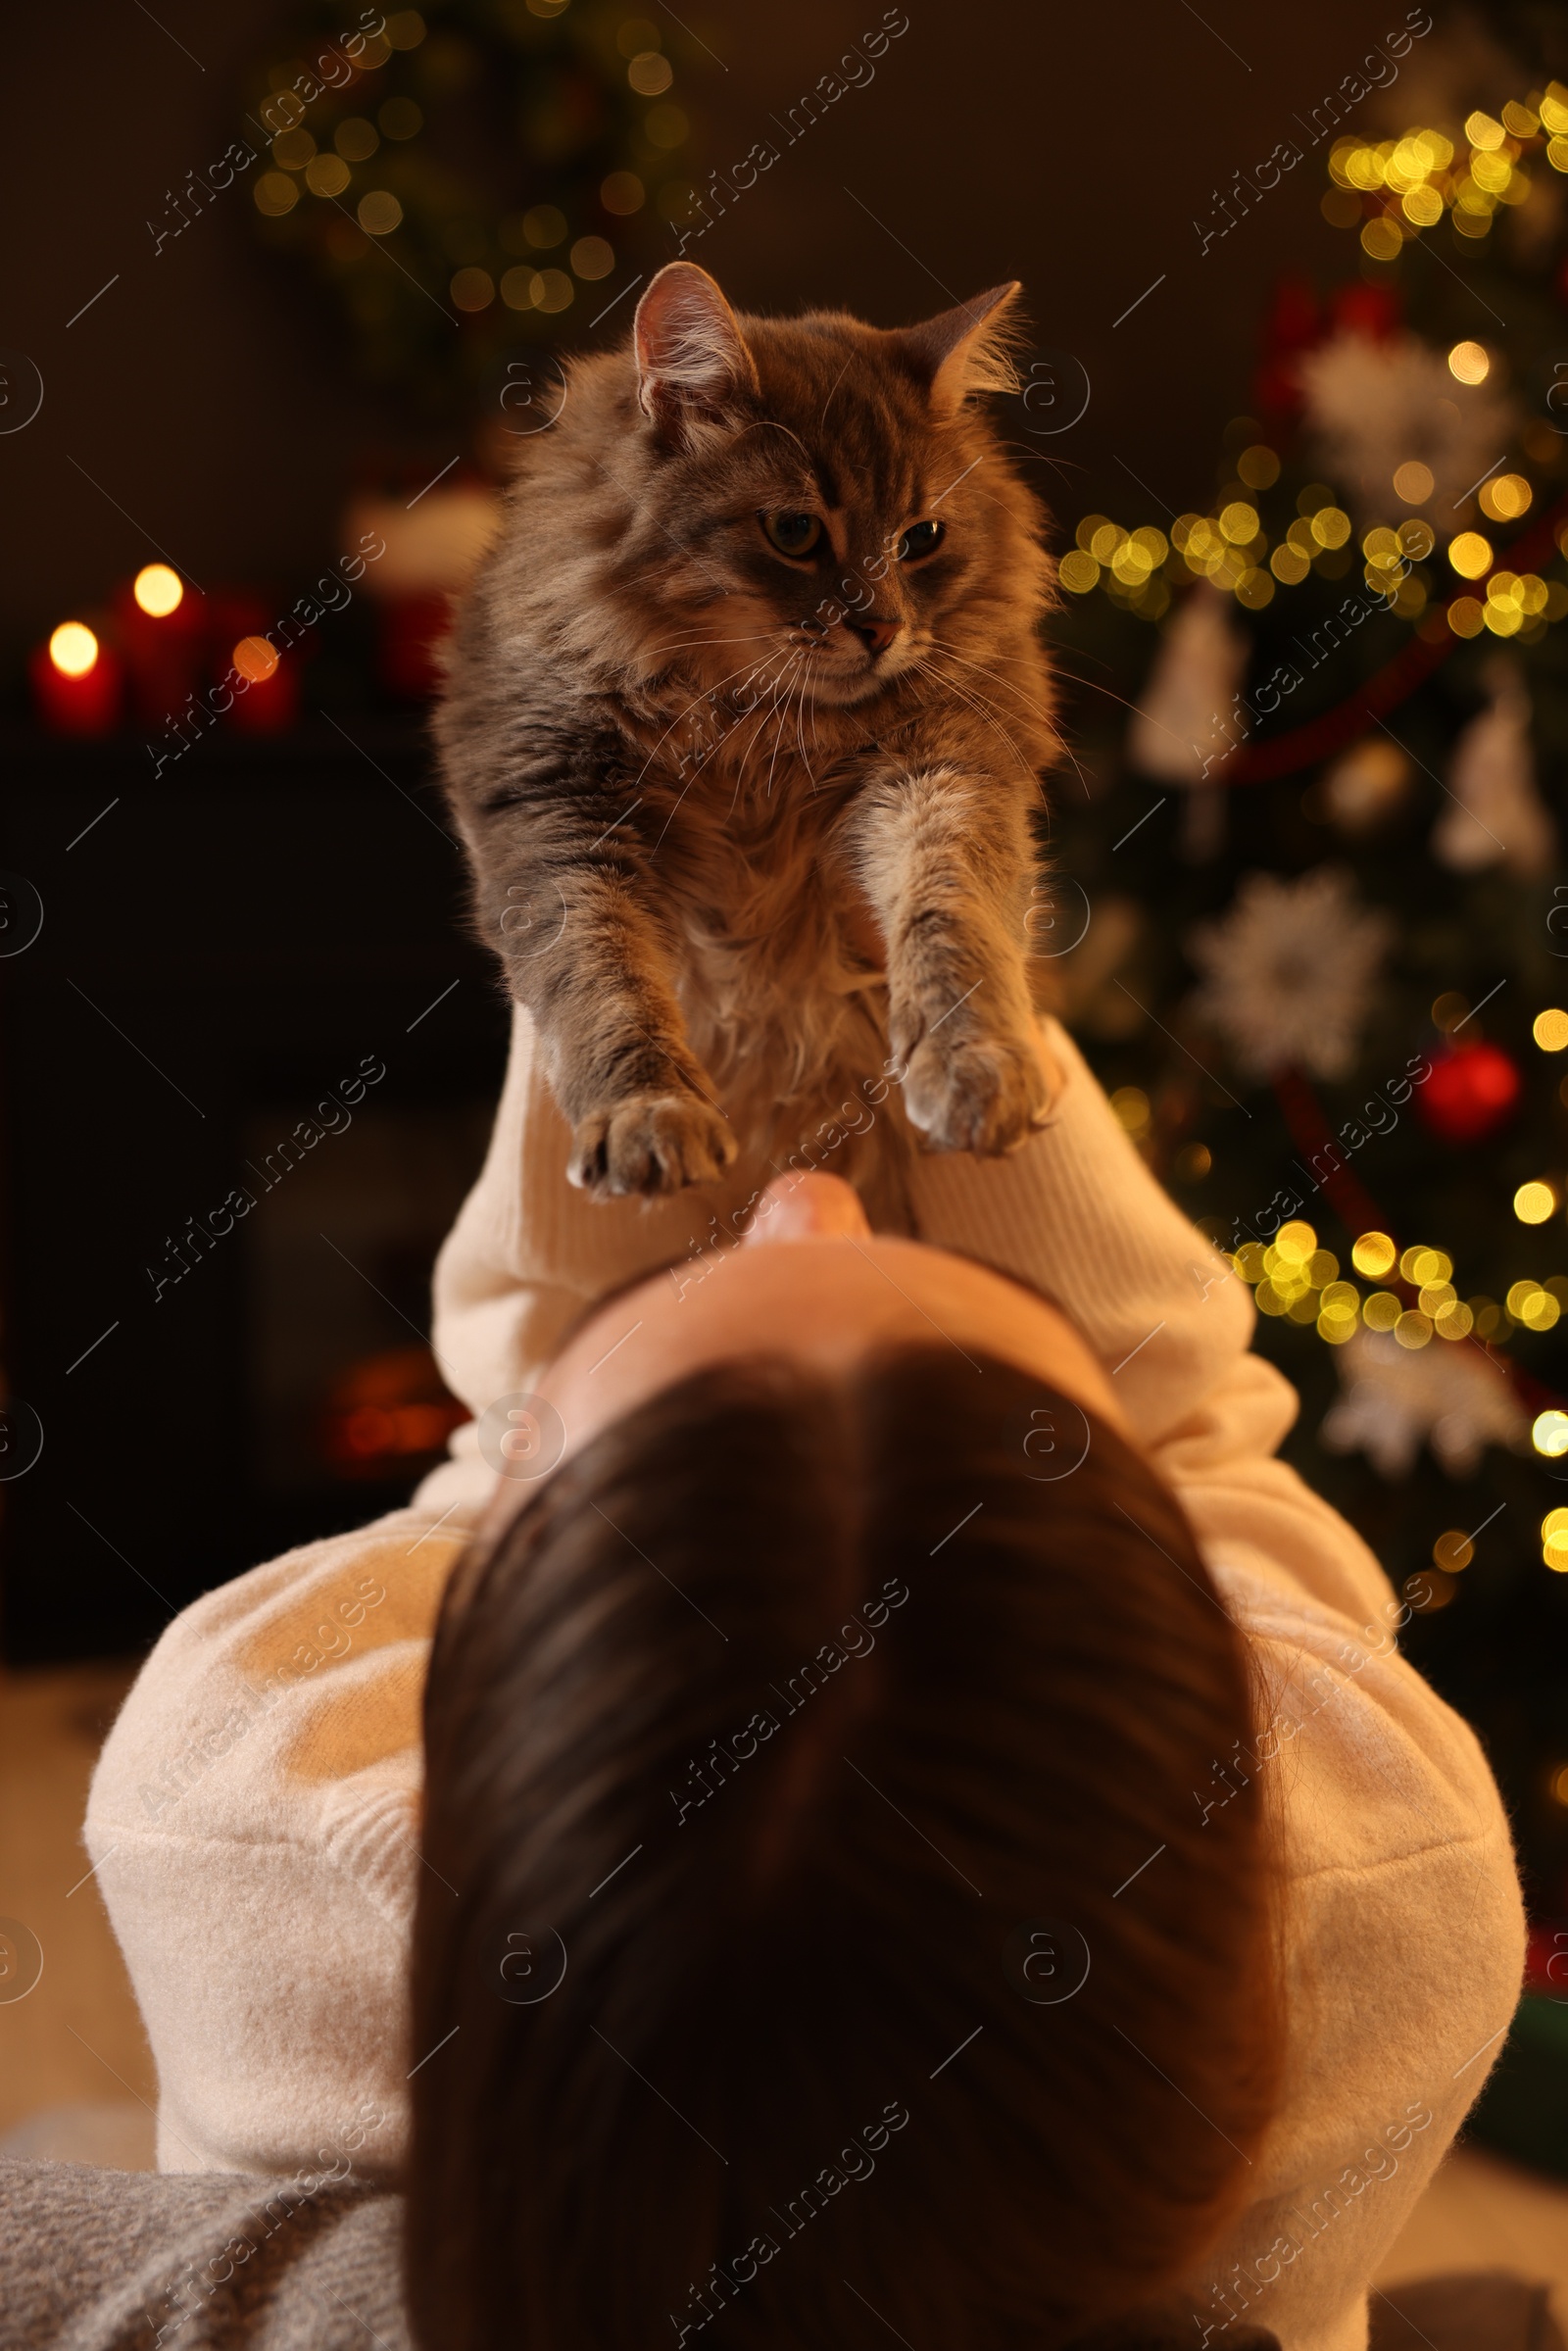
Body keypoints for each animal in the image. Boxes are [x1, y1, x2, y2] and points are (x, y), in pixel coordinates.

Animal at [434, 260, 1062, 1212]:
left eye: (921, 539)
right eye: (795, 531)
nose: (881, 628)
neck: (751, 723)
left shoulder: (944, 769)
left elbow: (953, 920)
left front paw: (976, 1066)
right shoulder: (559, 817)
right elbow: (606, 983)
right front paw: (648, 1115)